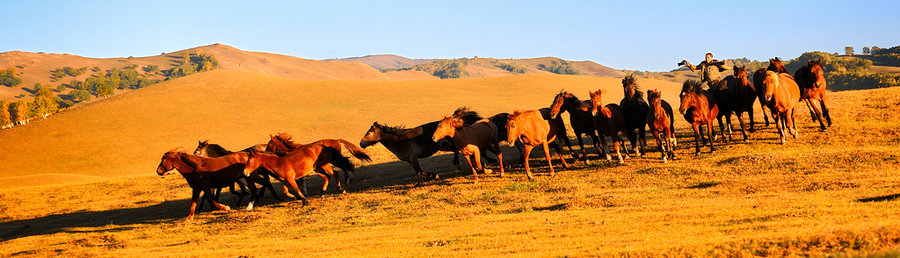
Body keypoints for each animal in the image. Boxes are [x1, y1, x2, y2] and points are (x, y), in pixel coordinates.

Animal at [358, 109, 486, 185]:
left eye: (368, 133)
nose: (361, 143)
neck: (400, 140)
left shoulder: (413, 157)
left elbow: (419, 170)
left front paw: (422, 182)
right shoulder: (409, 160)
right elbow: (419, 170)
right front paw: (433, 176)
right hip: (444, 146)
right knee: (456, 151)